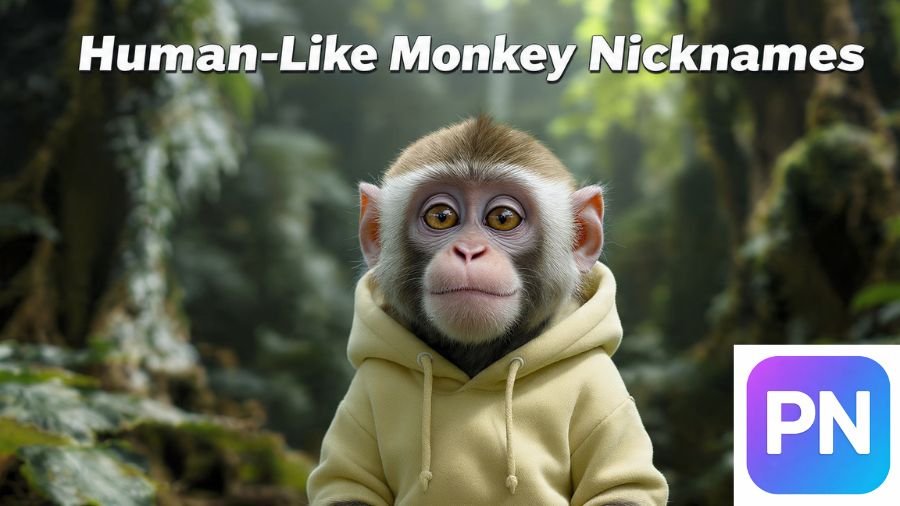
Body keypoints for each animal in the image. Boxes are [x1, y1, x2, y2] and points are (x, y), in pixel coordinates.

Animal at [307, 116, 668, 506]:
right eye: (441, 216)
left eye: (503, 218)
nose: (469, 250)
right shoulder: (360, 394)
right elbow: (346, 486)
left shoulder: (604, 391)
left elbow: (621, 489)